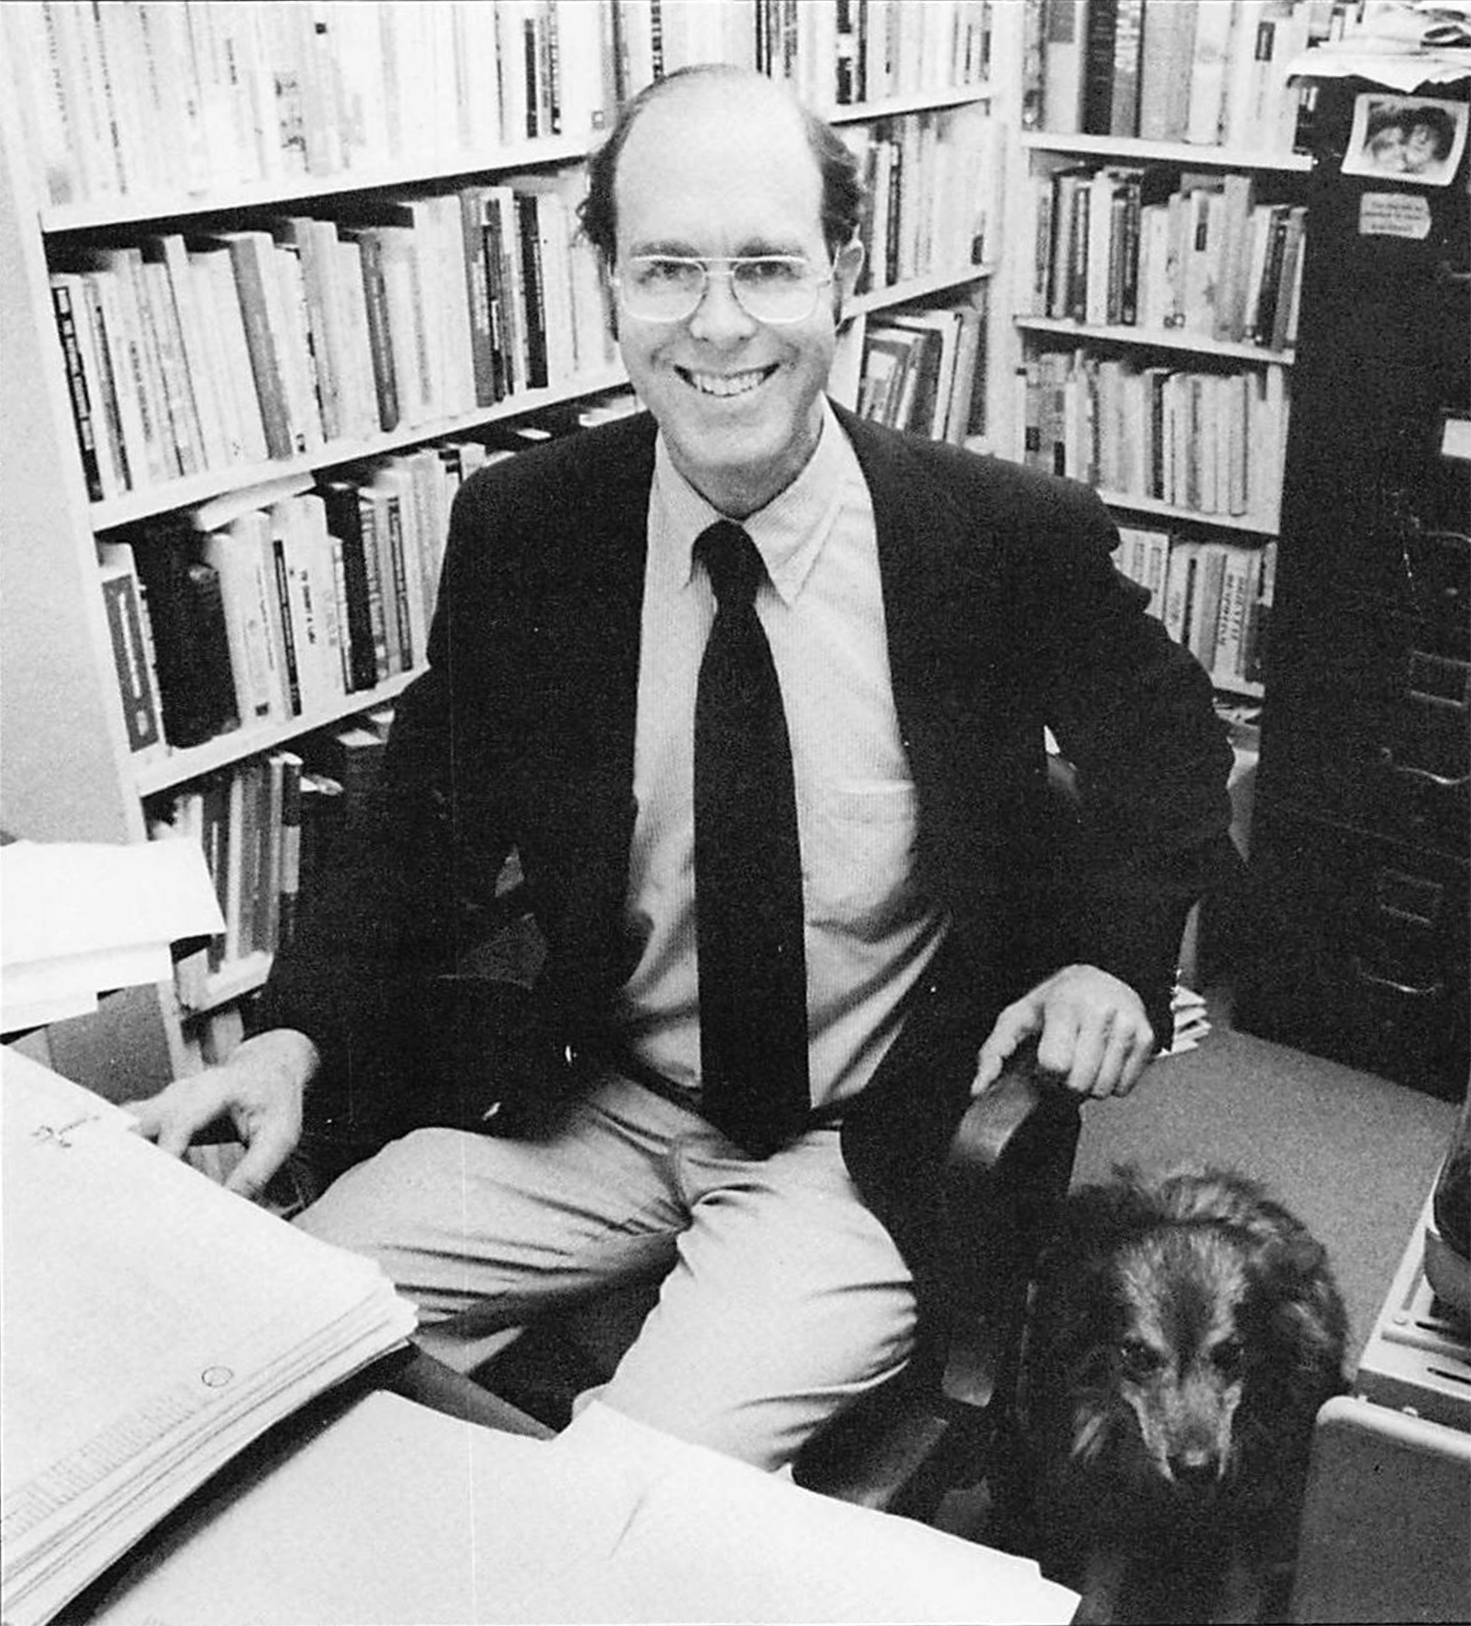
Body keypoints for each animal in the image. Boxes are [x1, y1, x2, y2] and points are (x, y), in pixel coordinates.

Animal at [1020, 1164, 1345, 1619]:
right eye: (1137, 1354)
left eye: (1232, 1353)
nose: (1196, 1468)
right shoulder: (1104, 1510)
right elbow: (1096, 1596)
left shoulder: (1256, 1518)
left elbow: (1238, 1603)